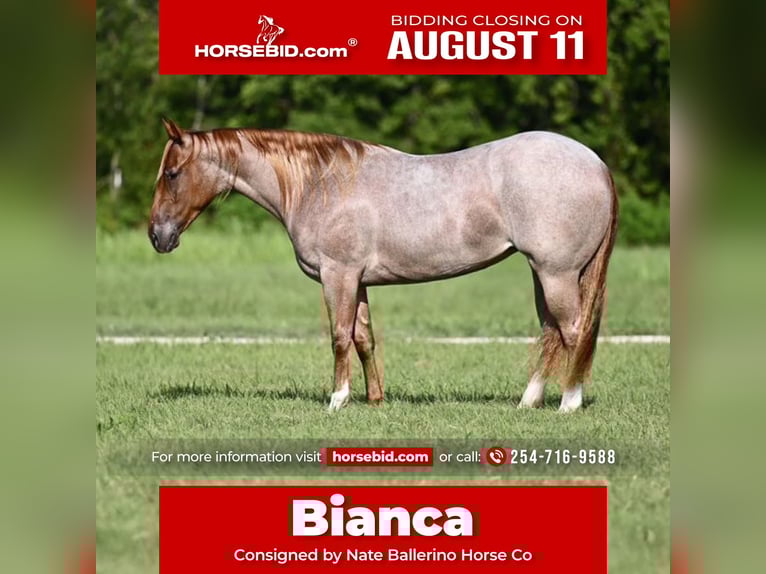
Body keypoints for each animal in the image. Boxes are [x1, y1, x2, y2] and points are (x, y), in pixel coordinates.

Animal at [149, 119, 618, 413]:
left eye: (171, 174)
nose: (157, 235)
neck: (319, 184)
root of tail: (596, 163)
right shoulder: (357, 280)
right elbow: (364, 338)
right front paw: (375, 399)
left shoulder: (337, 275)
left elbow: (339, 336)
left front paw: (337, 400)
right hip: (544, 274)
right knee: (551, 333)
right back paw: (528, 401)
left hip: (557, 273)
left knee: (573, 330)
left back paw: (569, 403)